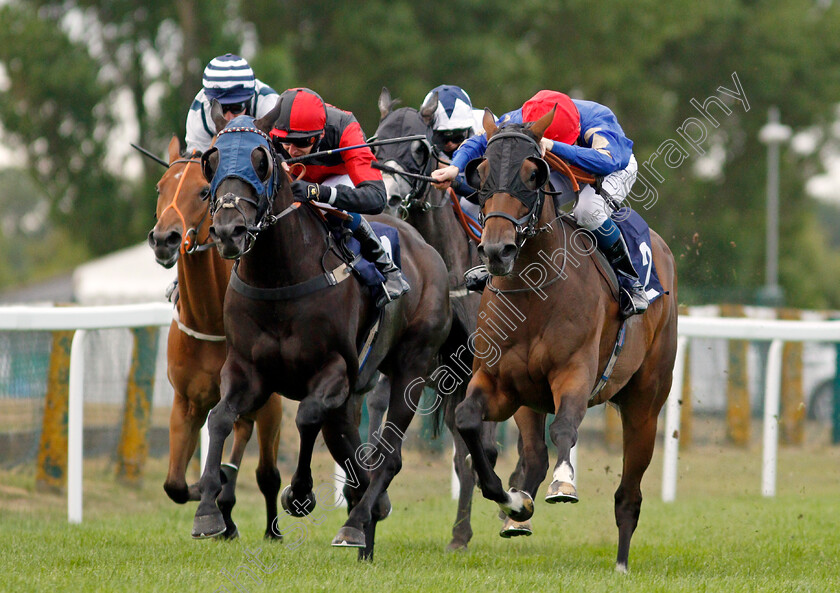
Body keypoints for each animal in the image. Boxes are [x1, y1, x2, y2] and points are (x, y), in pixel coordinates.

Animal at [146, 136, 284, 540]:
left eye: (203, 191)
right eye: (160, 188)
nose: (164, 238)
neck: (210, 321)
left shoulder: (269, 402)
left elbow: (266, 474)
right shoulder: (186, 403)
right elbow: (174, 485)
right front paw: (209, 497)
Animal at [194, 100, 452, 560]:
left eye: (261, 161)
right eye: (212, 160)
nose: (229, 231)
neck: (278, 278)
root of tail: (427, 249)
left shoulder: (334, 372)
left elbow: (307, 416)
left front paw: (300, 494)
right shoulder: (246, 372)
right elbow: (220, 417)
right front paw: (207, 510)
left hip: (412, 367)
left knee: (389, 456)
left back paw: (355, 523)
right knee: (354, 453)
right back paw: (366, 528)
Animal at [370, 89, 502, 552]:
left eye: (418, 149)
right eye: (376, 145)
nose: (390, 198)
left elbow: (479, 447)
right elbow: (379, 408)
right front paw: (377, 498)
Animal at [456, 108, 680, 572]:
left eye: (532, 174)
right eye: (480, 174)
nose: (497, 251)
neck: (532, 292)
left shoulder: (574, 372)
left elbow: (565, 427)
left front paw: (564, 484)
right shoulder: (499, 383)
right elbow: (468, 421)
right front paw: (514, 503)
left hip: (645, 404)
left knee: (629, 494)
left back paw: (621, 564)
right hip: (529, 400)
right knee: (534, 457)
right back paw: (518, 515)